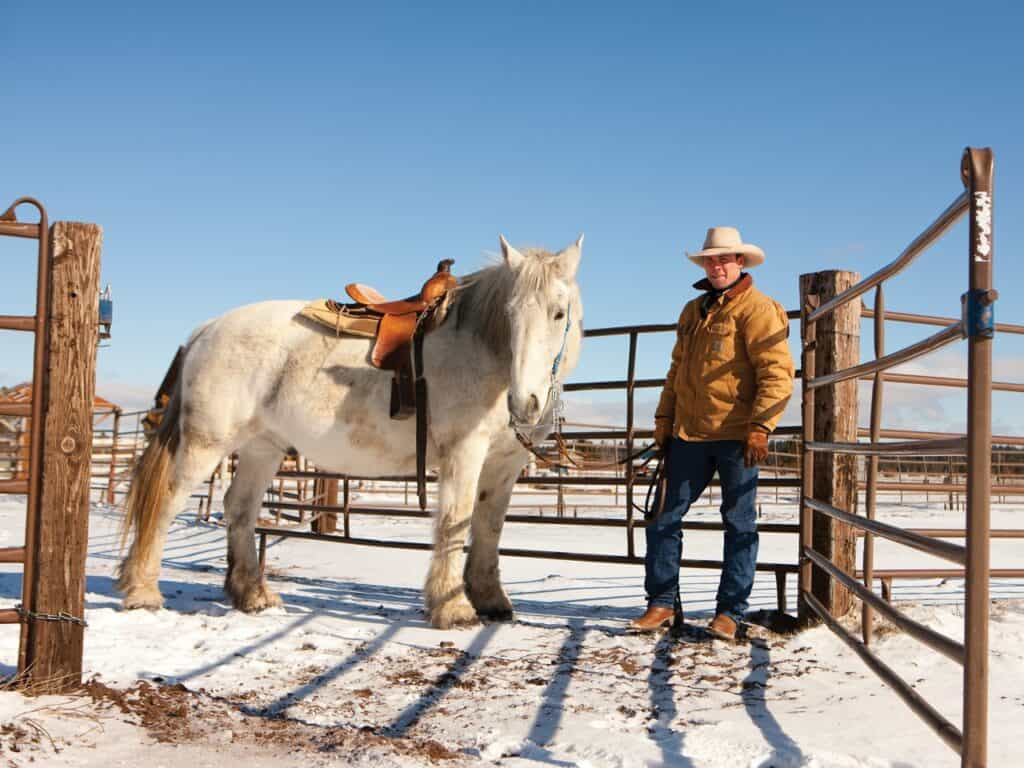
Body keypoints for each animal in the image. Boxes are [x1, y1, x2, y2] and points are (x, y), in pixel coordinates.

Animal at [117, 236, 585, 630]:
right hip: (205, 443)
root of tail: (207, 329)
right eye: (509, 314)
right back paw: (143, 593)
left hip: (261, 448)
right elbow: (456, 520)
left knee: (240, 508)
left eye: (558, 313)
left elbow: (489, 525)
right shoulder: (464, 453)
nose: (525, 403)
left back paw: (252, 595)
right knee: (167, 500)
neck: (486, 355)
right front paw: (452, 609)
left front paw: (491, 601)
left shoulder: (505, 463)